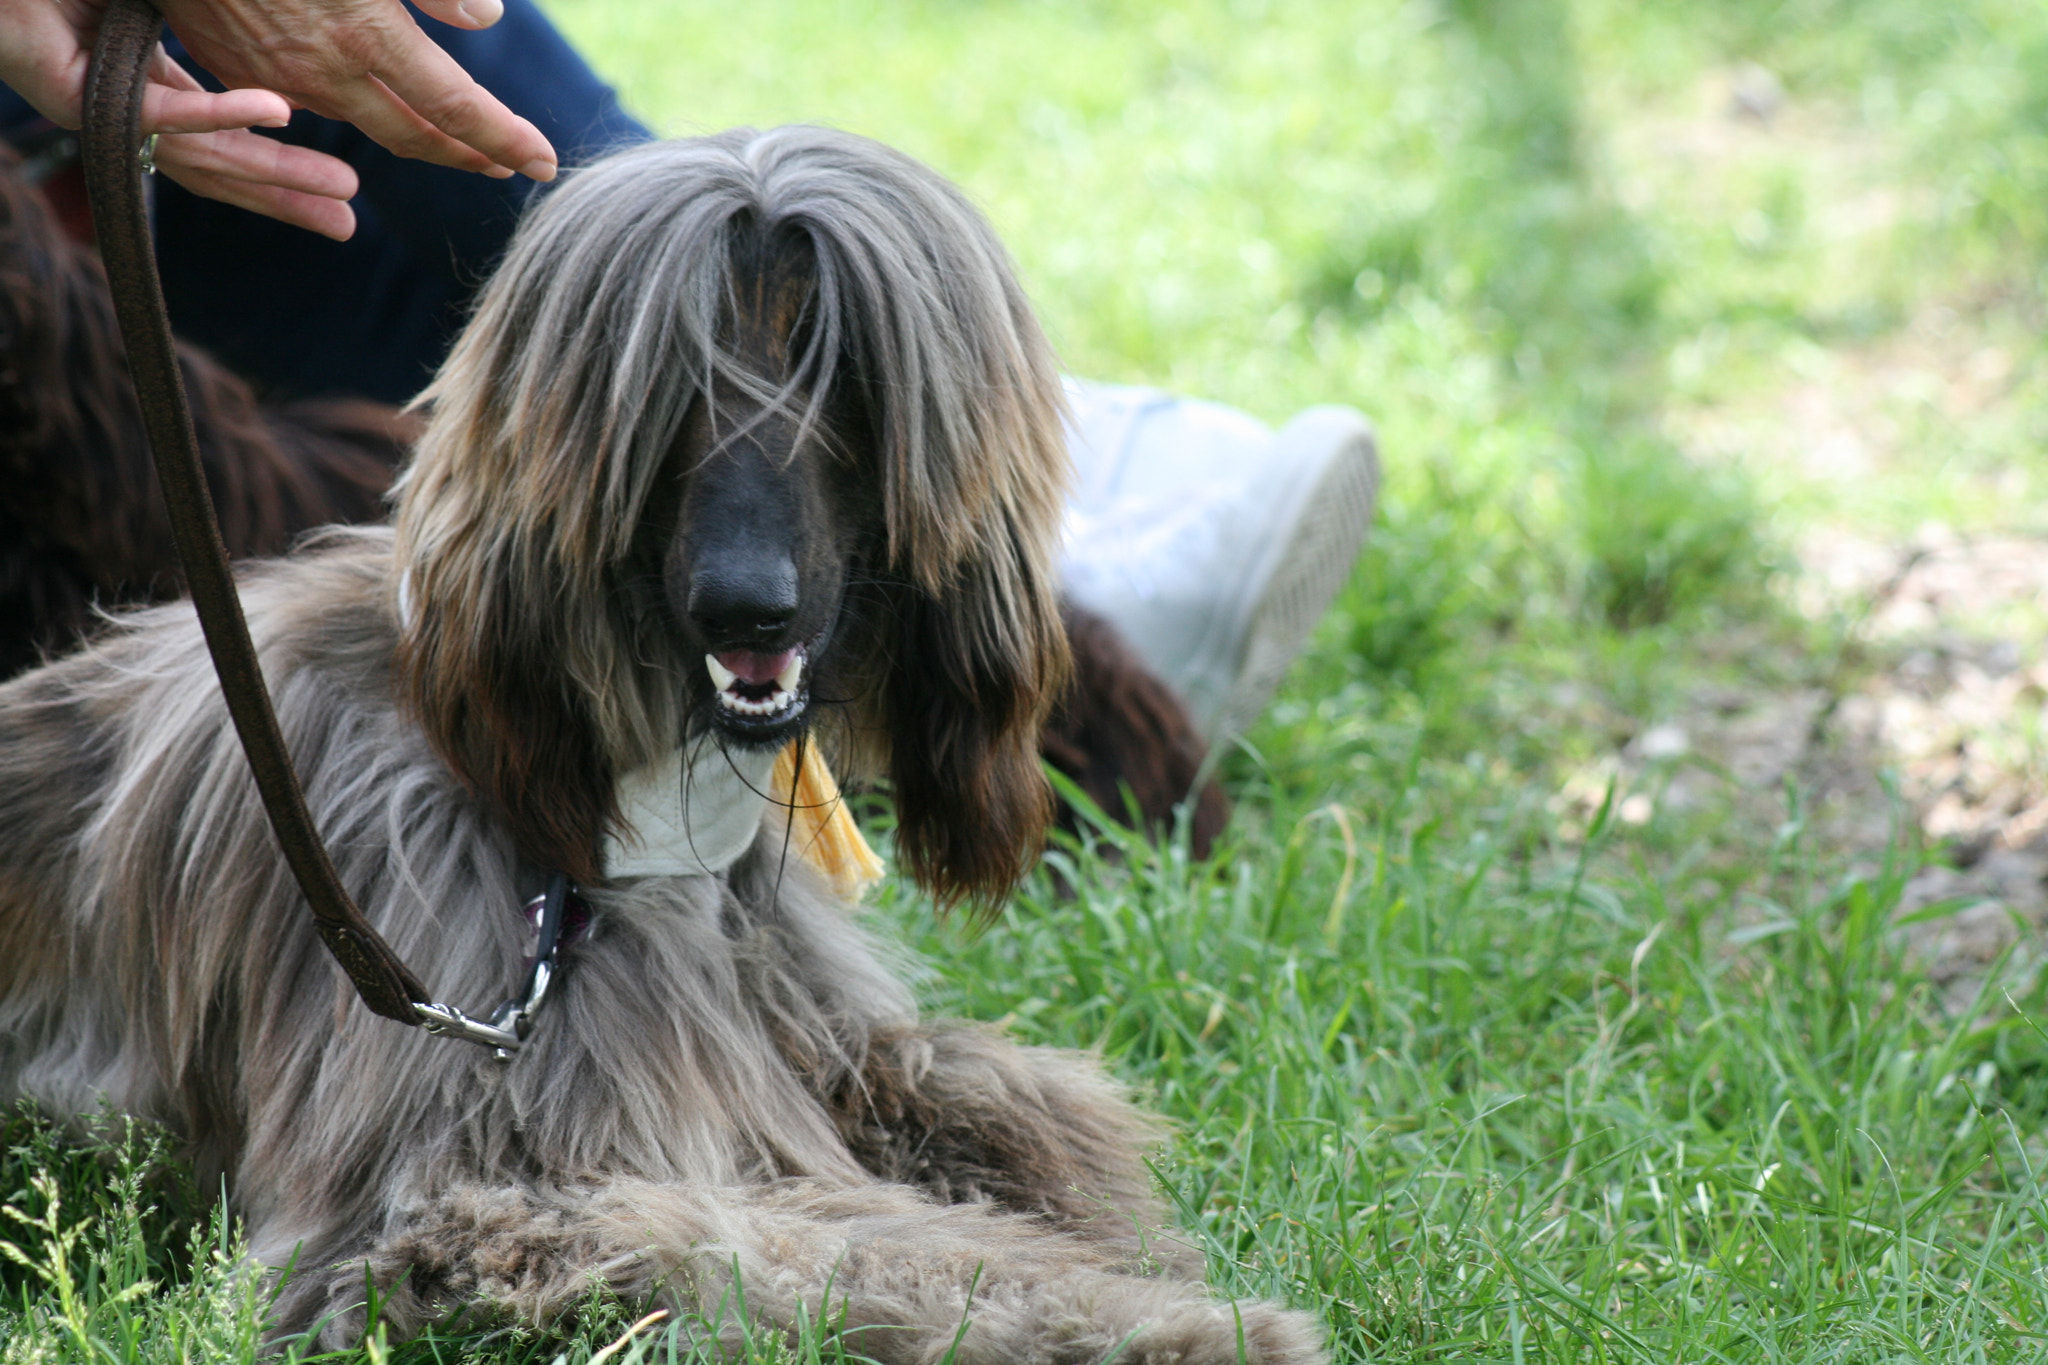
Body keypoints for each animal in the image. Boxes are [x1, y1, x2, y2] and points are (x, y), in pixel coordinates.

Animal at [0, 125, 1310, 1358]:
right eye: (675, 384)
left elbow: (1006, 1098)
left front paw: (1138, 1252)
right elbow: (802, 1246)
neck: (613, 815)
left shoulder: (815, 1029)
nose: (747, 611)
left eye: (839, 370)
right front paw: (1182, 1323)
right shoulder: (457, 1192)